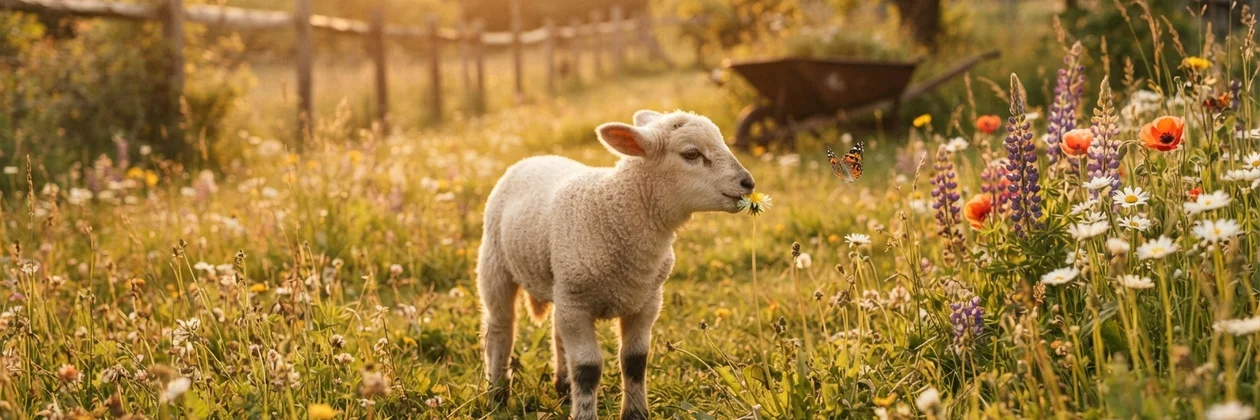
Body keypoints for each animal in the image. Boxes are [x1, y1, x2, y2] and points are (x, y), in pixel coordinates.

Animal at [477, 109, 755, 419]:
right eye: (691, 153)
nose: (748, 183)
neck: (614, 211)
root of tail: (535, 158)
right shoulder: (577, 304)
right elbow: (587, 369)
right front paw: (585, 414)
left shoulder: (646, 302)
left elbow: (635, 361)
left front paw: (636, 413)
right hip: (495, 263)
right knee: (500, 328)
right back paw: (497, 394)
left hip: (560, 284)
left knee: (555, 329)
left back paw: (563, 387)